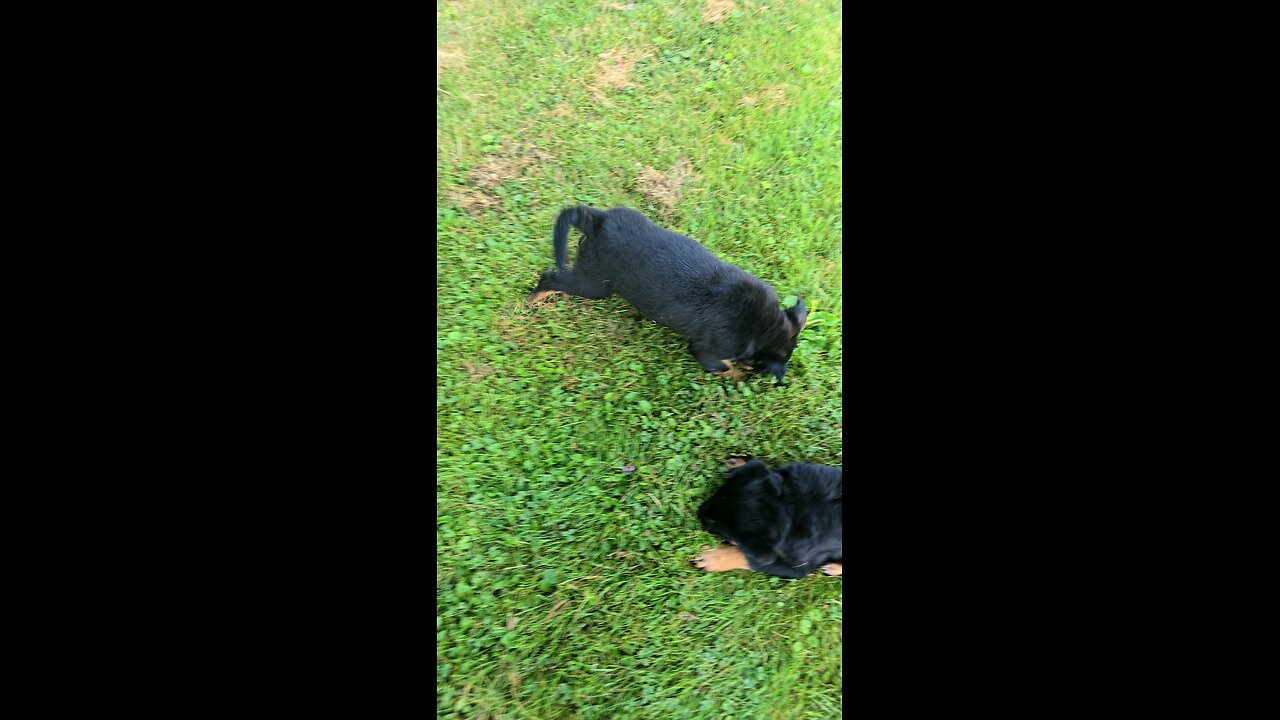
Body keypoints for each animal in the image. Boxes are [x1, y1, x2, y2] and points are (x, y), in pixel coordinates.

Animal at [524, 204, 803, 384]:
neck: (764, 327)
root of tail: (598, 221)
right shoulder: (705, 352)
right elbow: (723, 366)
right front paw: (737, 375)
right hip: (593, 284)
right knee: (550, 277)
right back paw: (532, 300)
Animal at [691, 453, 839, 576]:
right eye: (715, 496)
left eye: (713, 522)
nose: (699, 512)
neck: (789, 505)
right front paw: (739, 464)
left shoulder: (799, 565)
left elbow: (749, 559)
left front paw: (709, 558)